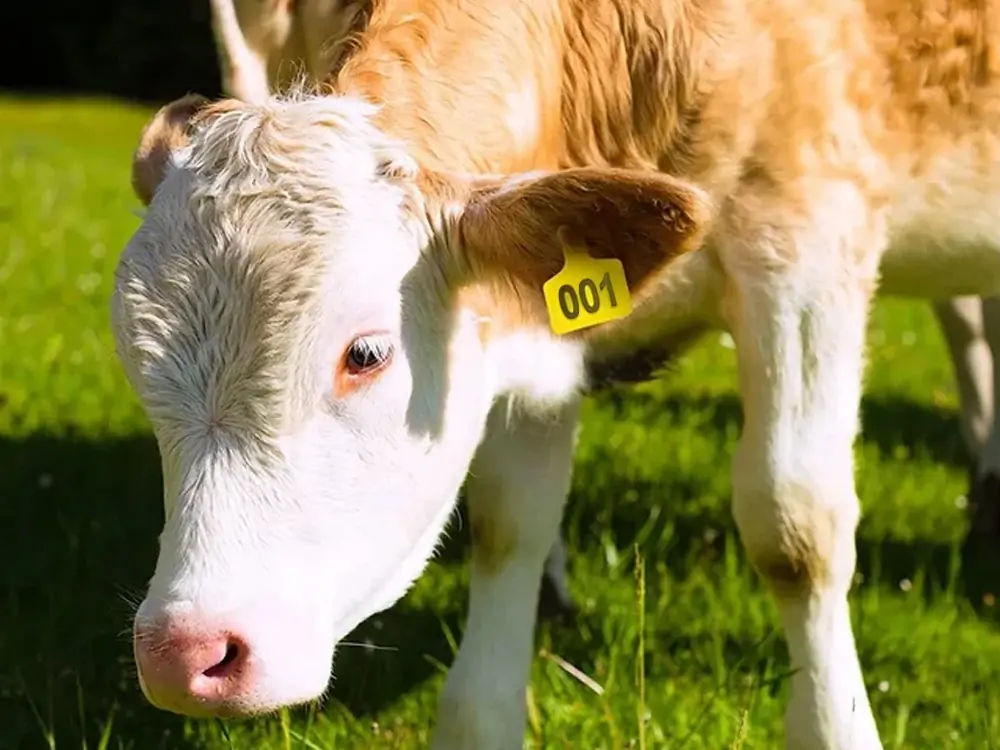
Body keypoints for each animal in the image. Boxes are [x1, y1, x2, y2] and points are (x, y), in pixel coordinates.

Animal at [109, 1, 1000, 750]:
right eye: (137, 366)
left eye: (366, 353)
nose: (184, 652)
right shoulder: (521, 334)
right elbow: (511, 524)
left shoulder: (806, 243)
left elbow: (796, 527)